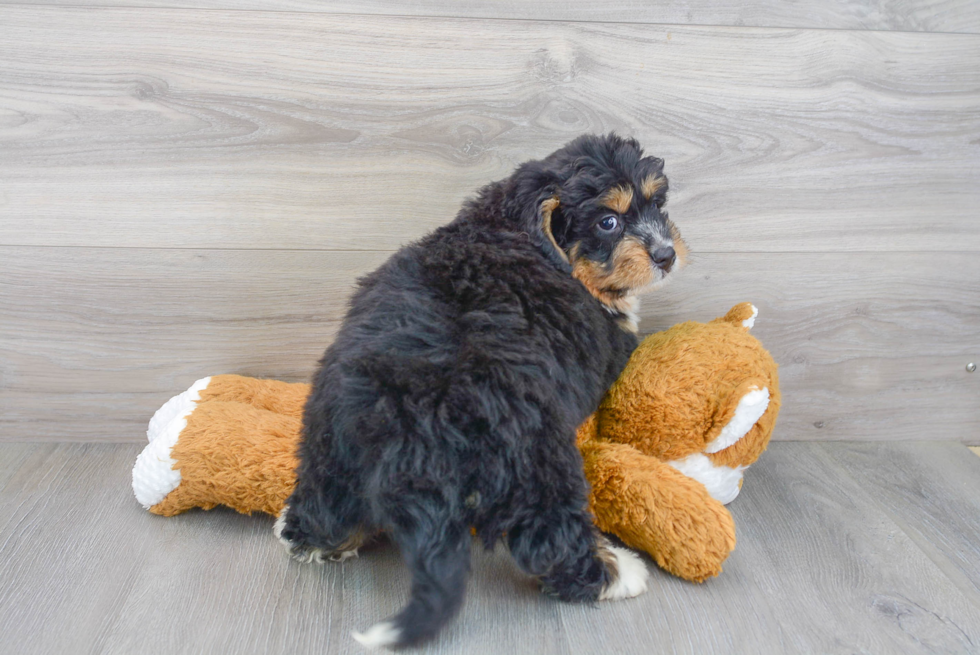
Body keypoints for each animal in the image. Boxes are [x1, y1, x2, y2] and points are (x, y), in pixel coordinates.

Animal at [276, 135, 688, 652]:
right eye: (608, 222)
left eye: (658, 204)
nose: (667, 255)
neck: (519, 232)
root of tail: (407, 429)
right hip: (535, 457)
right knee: (549, 538)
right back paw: (614, 573)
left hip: (332, 442)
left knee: (326, 502)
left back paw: (308, 538)